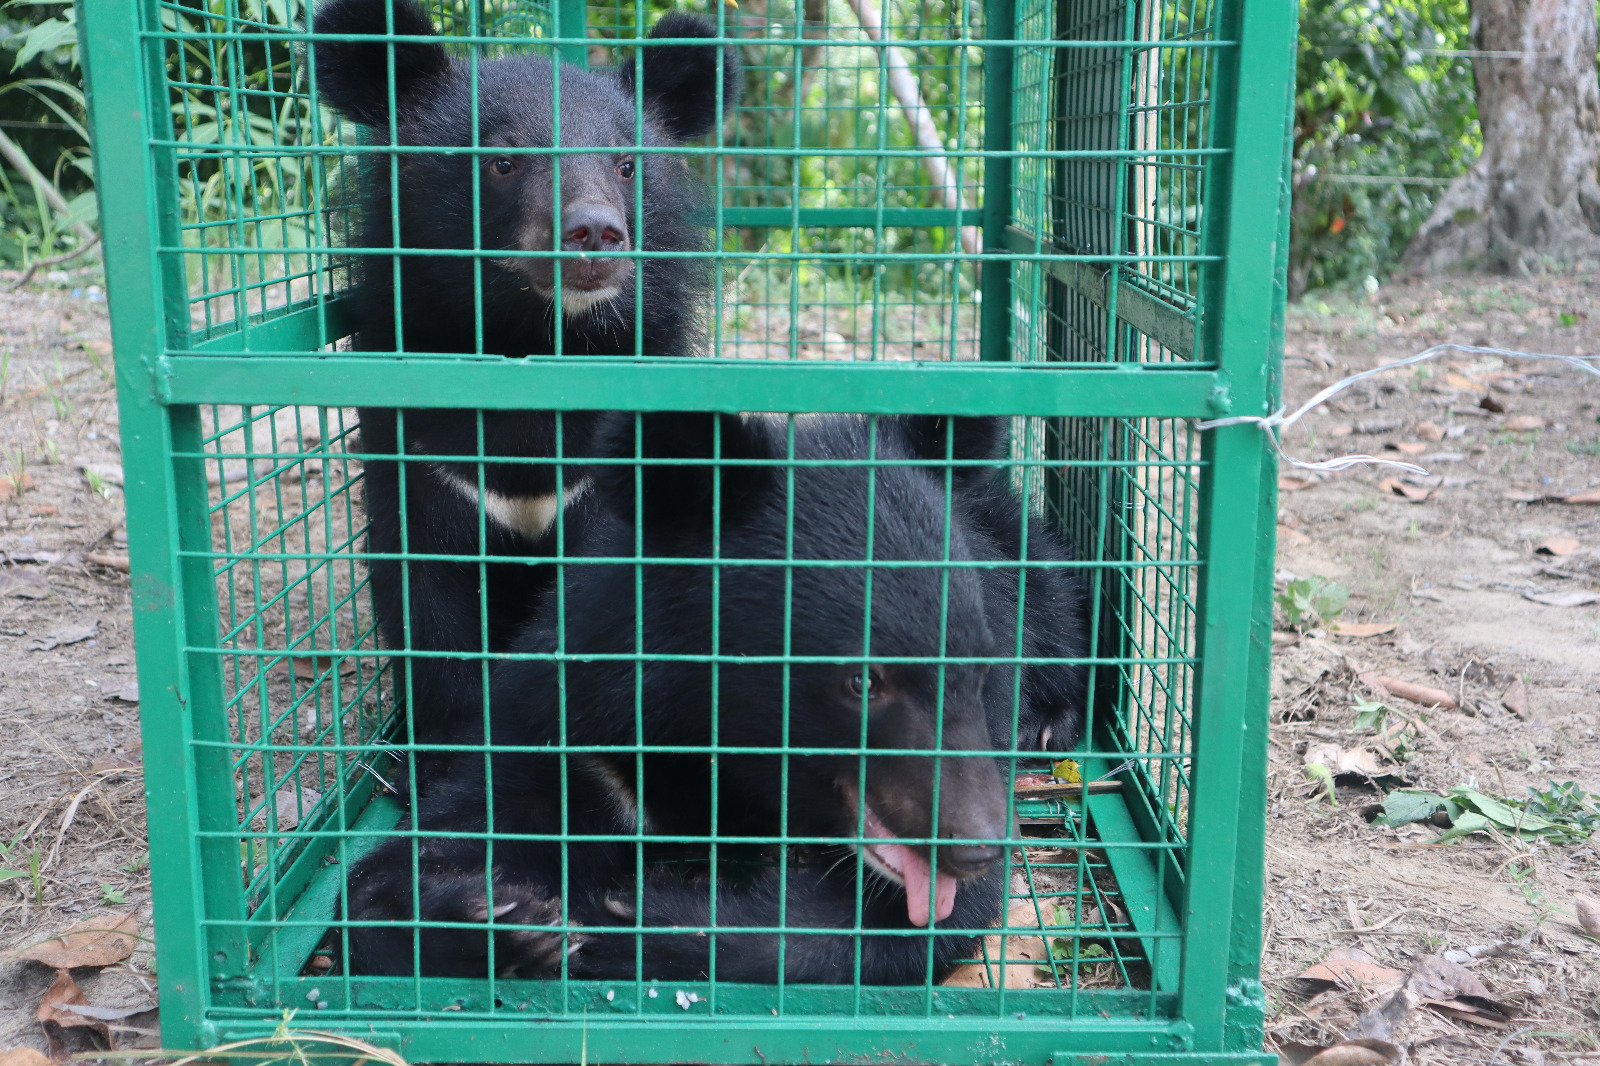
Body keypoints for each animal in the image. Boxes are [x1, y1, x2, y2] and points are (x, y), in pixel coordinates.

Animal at [308, 0, 739, 784]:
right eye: (503, 161)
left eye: (625, 163)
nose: (595, 232)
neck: (535, 345)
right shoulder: (422, 451)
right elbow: (430, 605)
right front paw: (443, 764)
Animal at [334, 409, 1088, 985]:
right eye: (861, 681)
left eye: (981, 665)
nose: (976, 846)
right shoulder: (585, 717)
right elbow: (411, 860)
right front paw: (501, 916)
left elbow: (905, 926)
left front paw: (631, 913)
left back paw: (1049, 724)